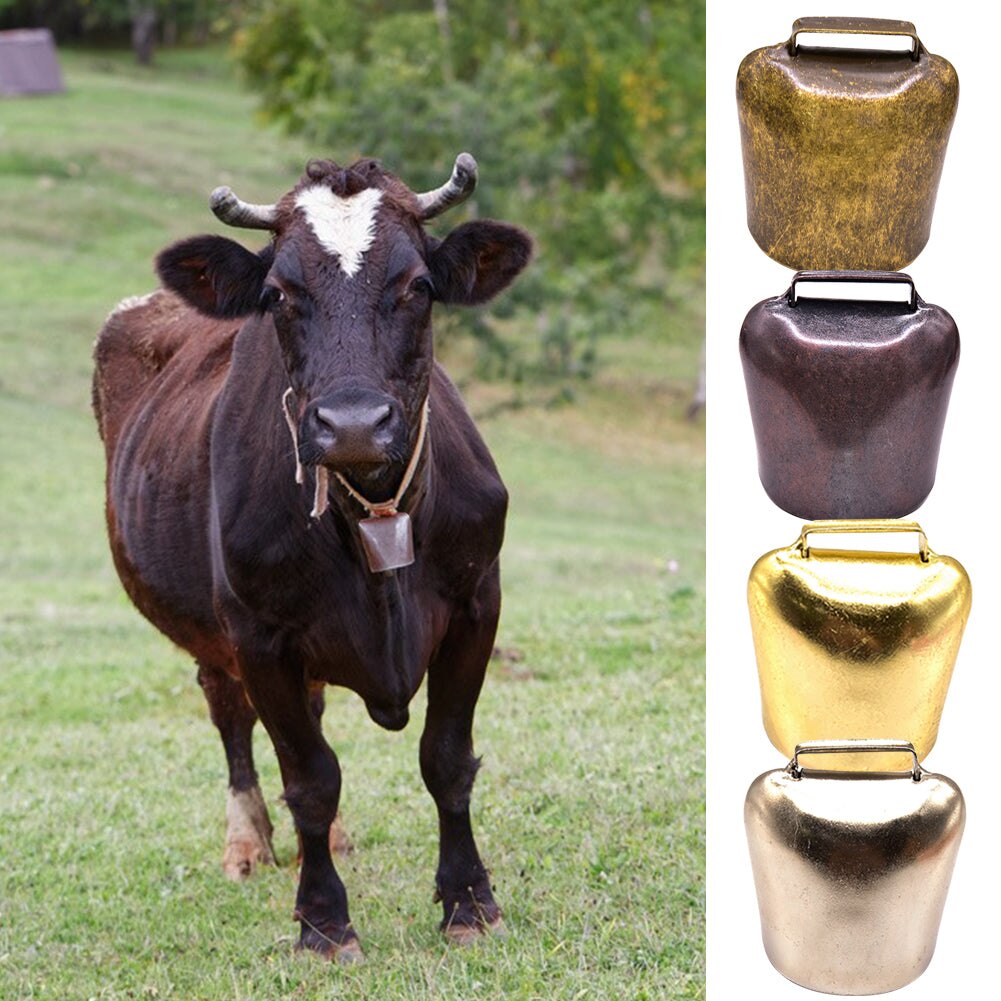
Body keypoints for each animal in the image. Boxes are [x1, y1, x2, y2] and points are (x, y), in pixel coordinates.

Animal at [91, 154, 532, 961]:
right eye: (277, 295)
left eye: (418, 286)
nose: (353, 423)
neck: (376, 514)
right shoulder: (259, 635)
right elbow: (309, 777)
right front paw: (324, 921)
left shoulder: (476, 602)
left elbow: (446, 758)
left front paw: (468, 902)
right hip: (209, 628)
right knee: (230, 713)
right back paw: (248, 841)